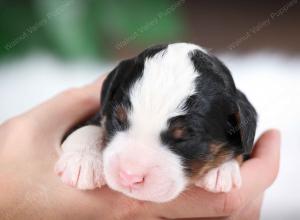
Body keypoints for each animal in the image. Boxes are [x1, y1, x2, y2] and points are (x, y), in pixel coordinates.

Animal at [55, 43, 258, 203]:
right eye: (118, 120)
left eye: (184, 138)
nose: (129, 177)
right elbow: (89, 127)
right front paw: (83, 160)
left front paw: (222, 171)